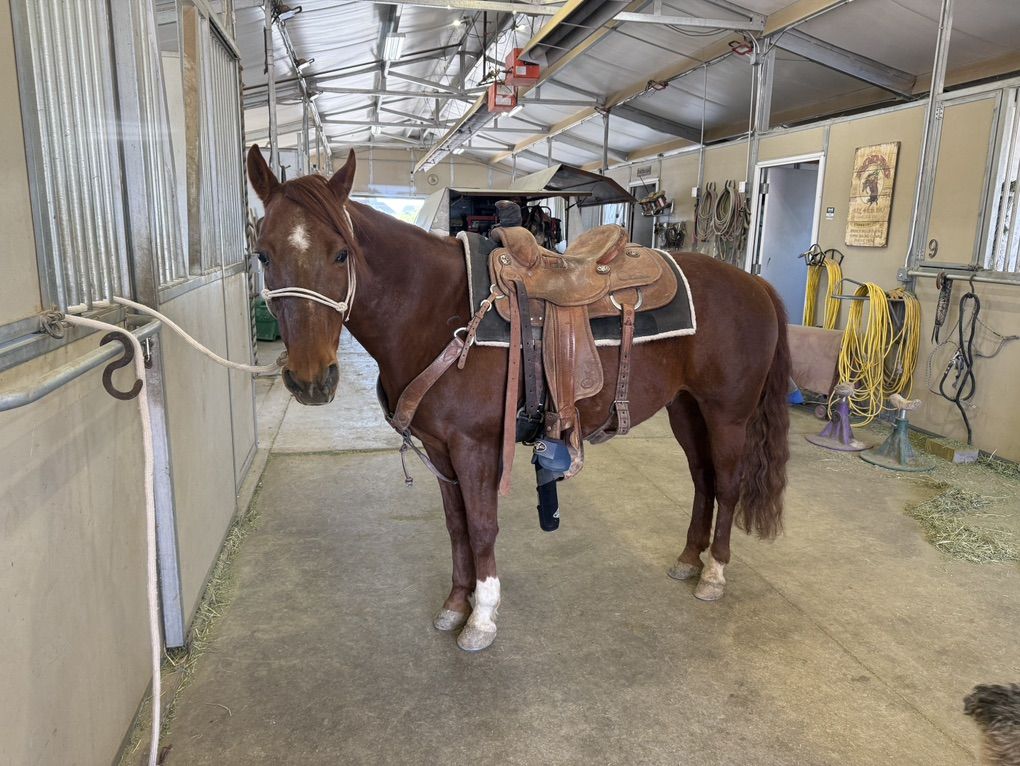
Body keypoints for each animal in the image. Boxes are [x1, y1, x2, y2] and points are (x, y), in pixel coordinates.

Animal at [247, 146, 791, 652]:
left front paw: (481, 617)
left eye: (342, 254)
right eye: (263, 255)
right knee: (703, 481)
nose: (310, 380)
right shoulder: (440, 450)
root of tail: (755, 283)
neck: (436, 309)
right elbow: (456, 526)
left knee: (728, 484)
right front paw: (455, 604)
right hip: (686, 409)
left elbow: (482, 526)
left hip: (728, 415)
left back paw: (714, 573)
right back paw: (688, 560)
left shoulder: (474, 447)